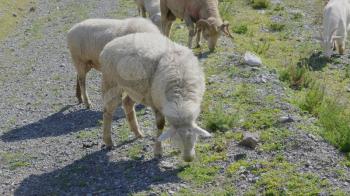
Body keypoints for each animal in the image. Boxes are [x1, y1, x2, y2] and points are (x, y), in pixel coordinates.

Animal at [100, 32, 212, 162]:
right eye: (176, 139)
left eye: (194, 137)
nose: (188, 158)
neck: (180, 97)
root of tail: (111, 43)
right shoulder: (157, 103)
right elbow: (160, 125)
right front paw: (158, 151)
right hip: (111, 82)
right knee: (108, 111)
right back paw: (108, 141)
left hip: (137, 89)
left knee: (127, 103)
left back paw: (138, 133)